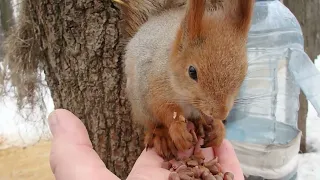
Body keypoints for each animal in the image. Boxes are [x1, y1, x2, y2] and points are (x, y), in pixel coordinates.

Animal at [122, 0, 255, 160]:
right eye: (192, 72)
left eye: (243, 72)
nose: (221, 114)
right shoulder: (155, 85)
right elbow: (164, 110)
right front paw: (178, 130)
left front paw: (218, 127)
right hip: (140, 106)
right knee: (152, 124)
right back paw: (162, 137)